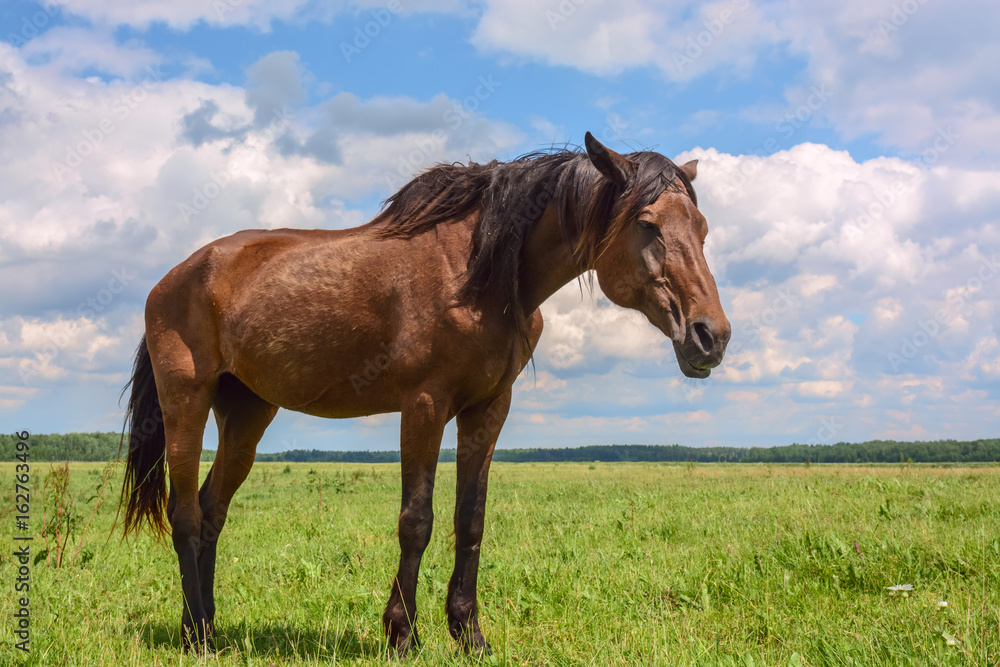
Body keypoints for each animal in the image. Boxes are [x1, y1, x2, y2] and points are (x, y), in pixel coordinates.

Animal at [117, 133, 732, 656]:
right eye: (648, 224)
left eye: (702, 228)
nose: (712, 336)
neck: (480, 275)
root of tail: (174, 277)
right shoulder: (424, 407)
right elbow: (417, 520)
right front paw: (402, 634)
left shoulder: (487, 410)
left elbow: (470, 520)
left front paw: (470, 635)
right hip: (186, 405)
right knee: (185, 514)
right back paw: (198, 639)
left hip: (246, 414)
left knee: (212, 511)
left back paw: (204, 625)